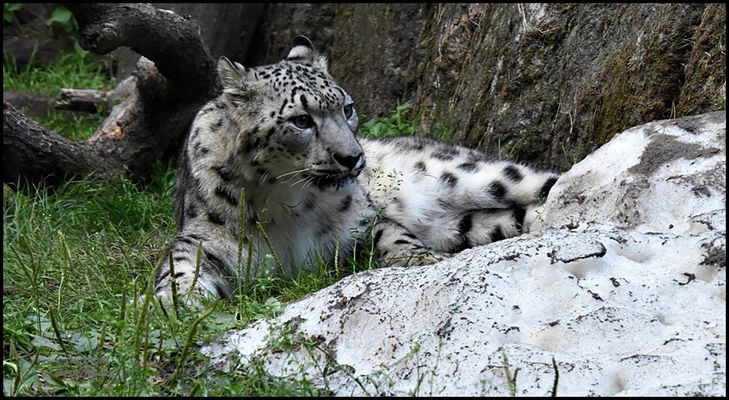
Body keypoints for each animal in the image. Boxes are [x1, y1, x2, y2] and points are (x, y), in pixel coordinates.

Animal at [154, 36, 559, 305]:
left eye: (346, 108)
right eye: (301, 119)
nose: (353, 157)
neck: (282, 200)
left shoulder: (363, 221)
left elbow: (391, 236)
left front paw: (423, 260)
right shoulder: (205, 238)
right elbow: (180, 266)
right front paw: (178, 302)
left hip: (471, 174)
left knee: (545, 181)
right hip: (466, 225)